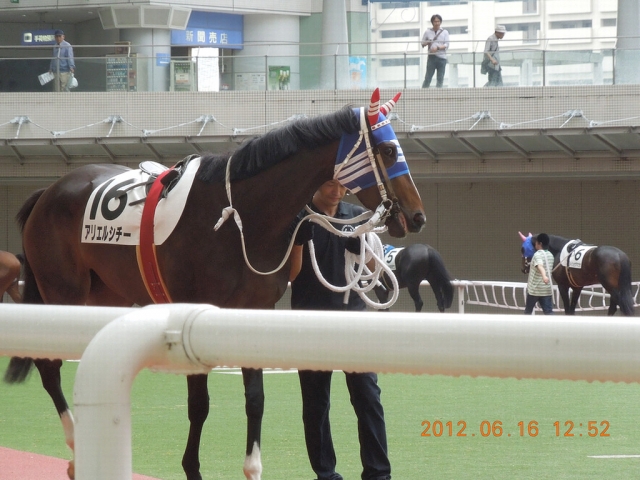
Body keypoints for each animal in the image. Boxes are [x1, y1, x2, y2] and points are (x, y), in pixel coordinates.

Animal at [3, 88, 426, 480]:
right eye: (389, 150)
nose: (417, 216)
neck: (241, 217)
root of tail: (49, 192)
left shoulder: (253, 311)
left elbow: (255, 397)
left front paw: (253, 467)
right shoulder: (192, 312)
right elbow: (199, 404)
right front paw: (192, 467)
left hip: (105, 295)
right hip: (63, 291)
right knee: (50, 367)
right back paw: (76, 446)